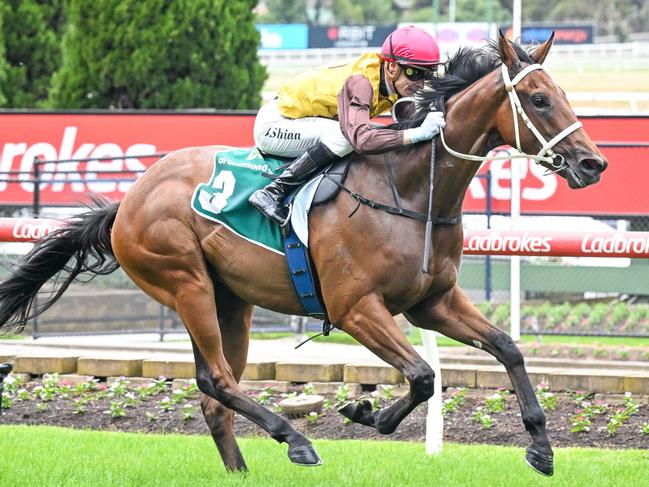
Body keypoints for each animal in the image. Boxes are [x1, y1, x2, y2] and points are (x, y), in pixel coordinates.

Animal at [0, 34, 608, 476]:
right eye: (539, 100)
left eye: (563, 95)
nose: (593, 164)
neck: (410, 190)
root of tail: (127, 201)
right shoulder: (355, 308)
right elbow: (421, 376)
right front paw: (365, 412)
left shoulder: (432, 302)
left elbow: (507, 348)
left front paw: (541, 447)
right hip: (185, 282)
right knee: (219, 381)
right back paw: (295, 440)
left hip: (230, 301)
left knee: (214, 392)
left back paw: (243, 471)